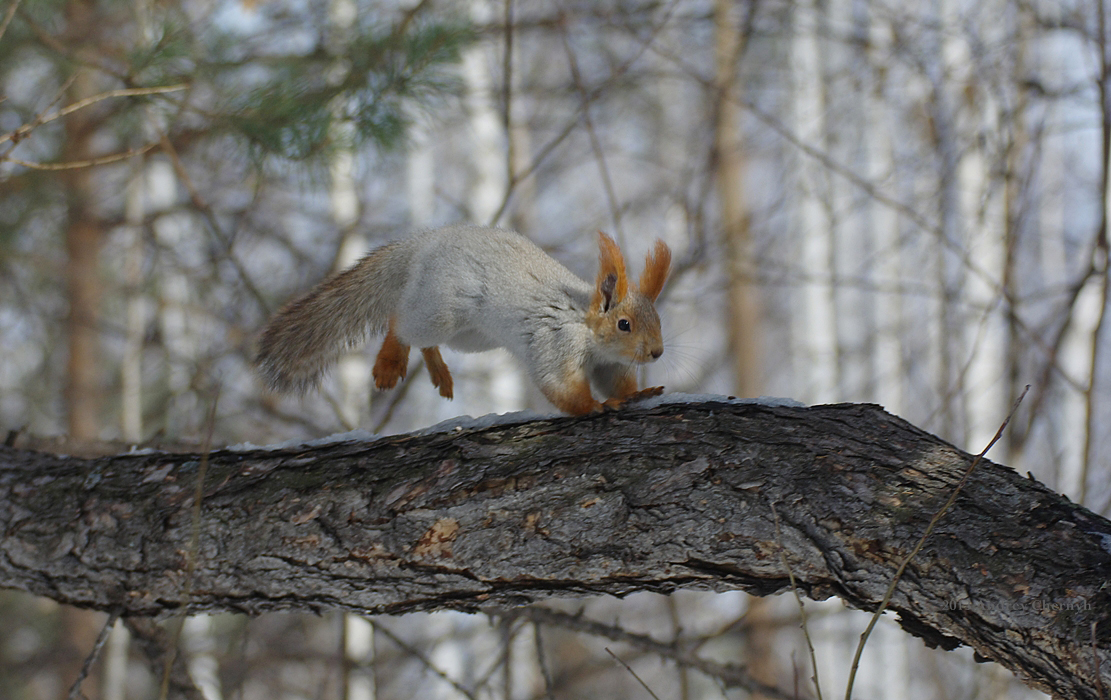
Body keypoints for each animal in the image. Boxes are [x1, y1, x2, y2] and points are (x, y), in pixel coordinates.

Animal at [255, 226, 671, 417]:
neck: (584, 326)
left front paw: (635, 394)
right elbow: (562, 387)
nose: (657, 353)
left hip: (472, 336)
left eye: (657, 320)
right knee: (401, 322)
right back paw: (390, 362)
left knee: (426, 340)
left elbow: (617, 381)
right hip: (442, 310)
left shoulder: (609, 363)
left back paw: (439, 371)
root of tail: (422, 245)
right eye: (624, 324)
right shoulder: (555, 343)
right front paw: (595, 407)